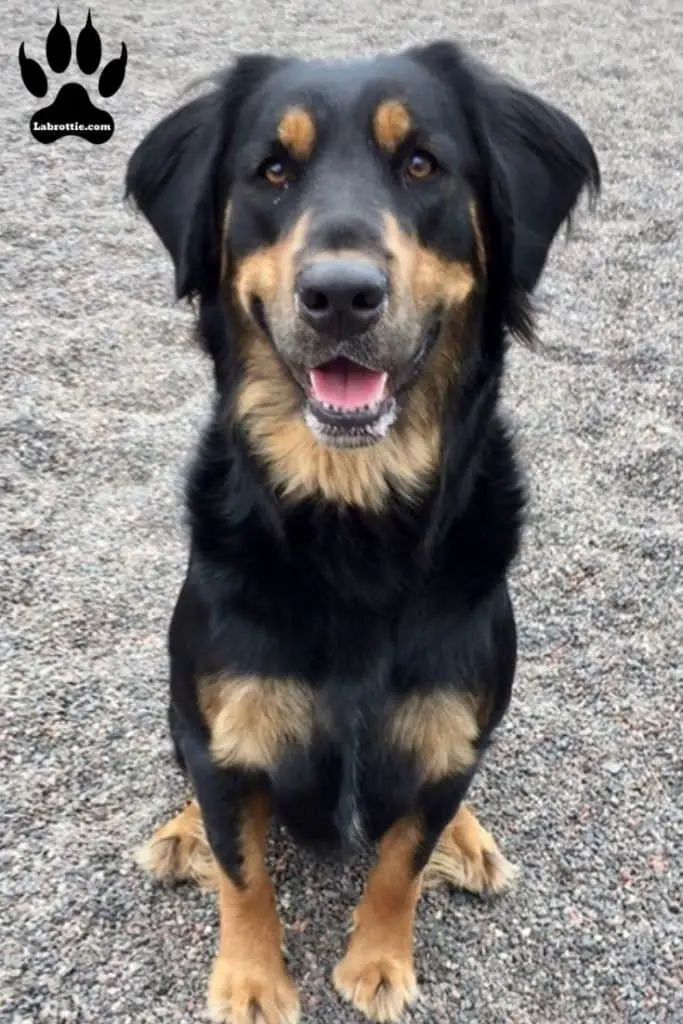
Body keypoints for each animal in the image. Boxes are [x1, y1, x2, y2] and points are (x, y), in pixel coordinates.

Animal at [126, 39, 598, 1024]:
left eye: (420, 163)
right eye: (272, 171)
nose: (340, 295)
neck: (352, 519)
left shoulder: (449, 733)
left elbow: (400, 861)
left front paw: (378, 962)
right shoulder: (225, 726)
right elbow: (242, 865)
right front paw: (251, 981)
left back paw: (471, 840)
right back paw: (180, 832)